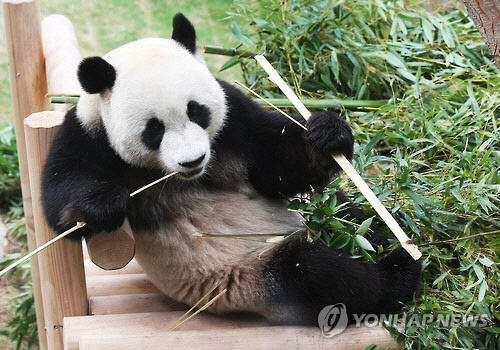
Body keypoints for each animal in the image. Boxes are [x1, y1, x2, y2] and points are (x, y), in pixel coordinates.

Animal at [42, 13, 422, 326]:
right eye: (154, 129)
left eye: (197, 111)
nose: (192, 160)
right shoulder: (88, 136)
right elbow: (61, 204)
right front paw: (102, 203)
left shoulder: (234, 119)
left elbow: (277, 168)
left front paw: (327, 134)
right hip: (243, 276)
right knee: (315, 275)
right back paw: (398, 274)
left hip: (312, 210)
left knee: (348, 215)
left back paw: (387, 241)